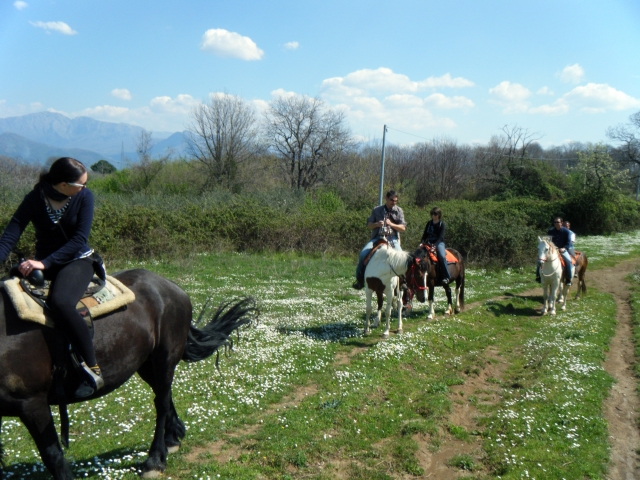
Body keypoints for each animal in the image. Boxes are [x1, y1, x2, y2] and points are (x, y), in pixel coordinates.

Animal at [0, 268, 256, 480]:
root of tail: (173, 288)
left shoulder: (32, 403)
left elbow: (53, 456)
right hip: (146, 363)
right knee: (164, 395)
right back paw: (172, 438)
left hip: (165, 358)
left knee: (161, 403)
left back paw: (155, 460)